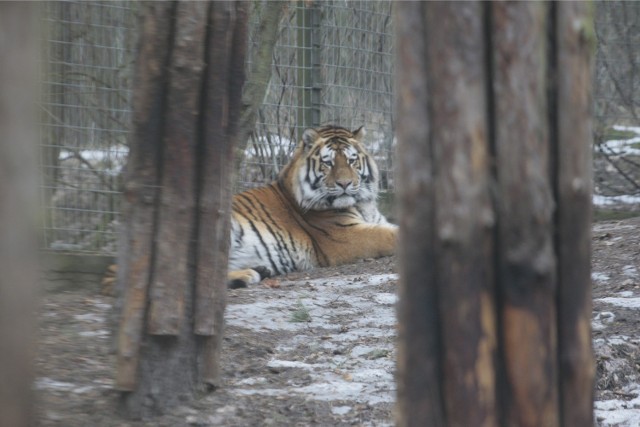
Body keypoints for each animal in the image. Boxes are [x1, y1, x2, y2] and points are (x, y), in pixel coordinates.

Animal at [225, 125, 396, 290]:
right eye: (328, 163)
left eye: (351, 161)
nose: (344, 183)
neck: (363, 205)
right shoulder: (347, 234)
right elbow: (389, 235)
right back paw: (249, 274)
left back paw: (260, 270)